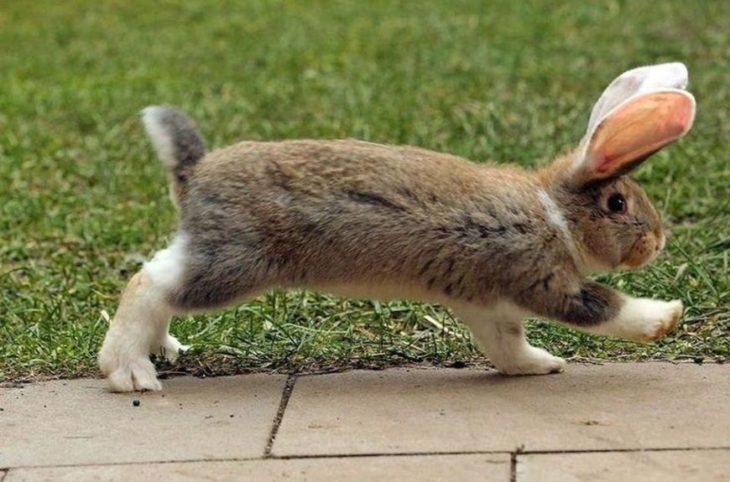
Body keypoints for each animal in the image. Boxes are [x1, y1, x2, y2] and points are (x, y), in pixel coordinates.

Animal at [99, 62, 696, 392]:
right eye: (617, 203)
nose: (657, 240)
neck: (553, 212)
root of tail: (194, 171)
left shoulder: (487, 302)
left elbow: (506, 346)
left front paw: (542, 365)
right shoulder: (543, 279)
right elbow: (602, 308)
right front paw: (665, 317)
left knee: (160, 279)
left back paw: (162, 351)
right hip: (235, 264)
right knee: (148, 284)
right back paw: (129, 372)